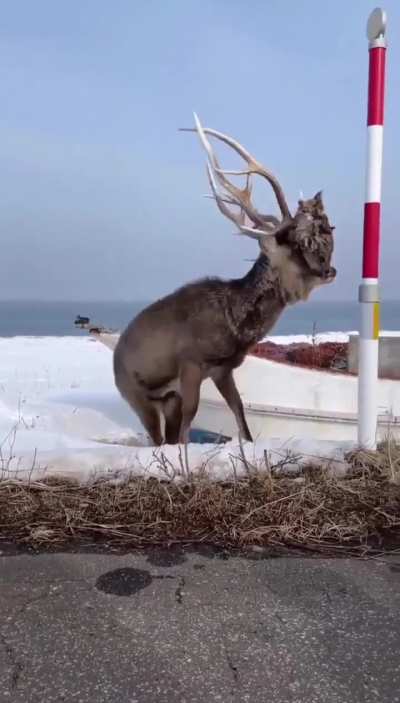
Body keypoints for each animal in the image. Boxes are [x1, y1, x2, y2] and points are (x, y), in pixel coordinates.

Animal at [113, 114, 336, 446]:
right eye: (296, 243)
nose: (329, 270)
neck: (235, 326)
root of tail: (115, 357)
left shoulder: (223, 369)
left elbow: (239, 410)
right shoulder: (191, 363)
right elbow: (191, 419)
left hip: (166, 398)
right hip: (137, 395)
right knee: (157, 435)